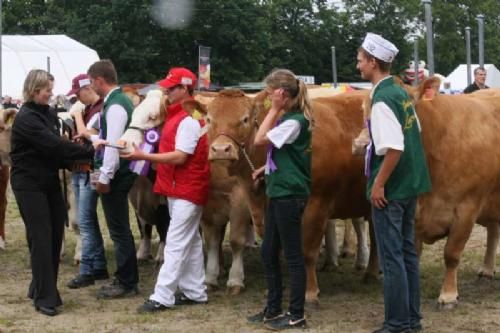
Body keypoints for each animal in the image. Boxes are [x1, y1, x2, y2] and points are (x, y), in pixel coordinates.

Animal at [207, 88, 378, 304]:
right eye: (208, 119)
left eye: (245, 119)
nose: (221, 150)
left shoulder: (317, 204)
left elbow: (307, 251)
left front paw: (310, 291)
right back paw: (371, 273)